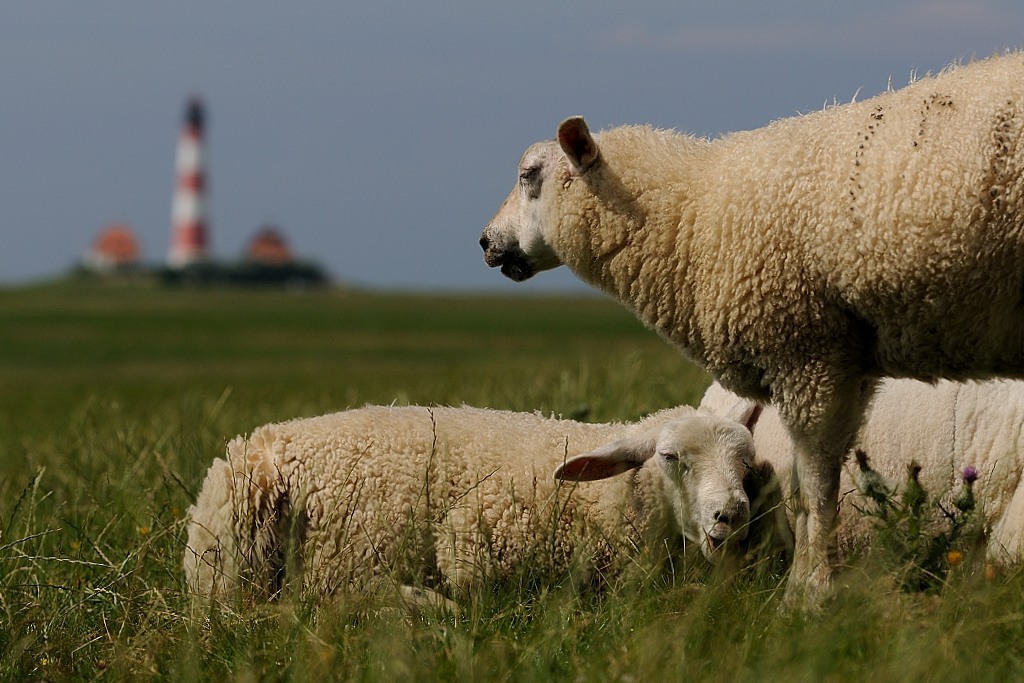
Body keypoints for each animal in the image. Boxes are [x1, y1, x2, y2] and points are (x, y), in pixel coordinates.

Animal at [184, 403, 778, 606]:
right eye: (671, 457)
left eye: (747, 468)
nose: (730, 516)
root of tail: (268, 448)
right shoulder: (473, 536)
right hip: (263, 563)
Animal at [479, 52, 1024, 602]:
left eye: (529, 175)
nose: (485, 241)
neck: (693, 214)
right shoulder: (850, 359)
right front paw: (809, 584)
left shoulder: (806, 351)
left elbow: (813, 488)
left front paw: (807, 593)